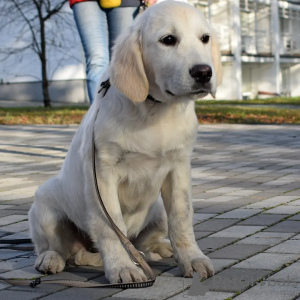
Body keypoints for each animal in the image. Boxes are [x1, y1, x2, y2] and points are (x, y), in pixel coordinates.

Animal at [28, 1, 220, 284]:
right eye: (168, 40)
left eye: (204, 38)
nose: (204, 72)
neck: (155, 110)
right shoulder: (102, 173)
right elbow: (110, 226)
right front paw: (121, 267)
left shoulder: (179, 167)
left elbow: (181, 218)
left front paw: (192, 259)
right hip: (44, 203)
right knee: (58, 248)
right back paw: (50, 259)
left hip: (157, 210)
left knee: (143, 244)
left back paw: (160, 248)